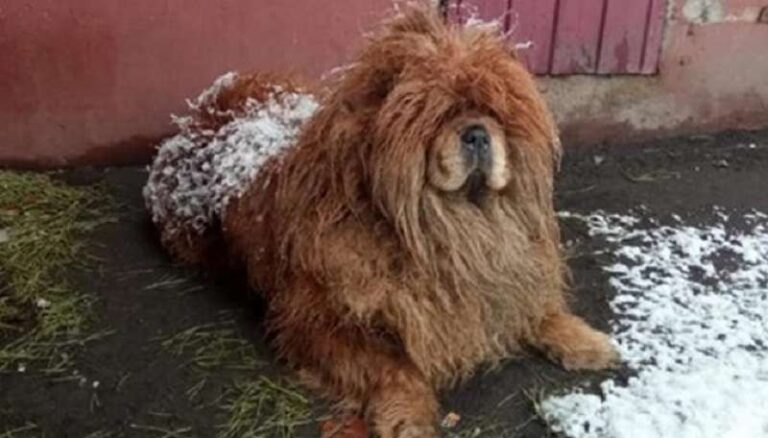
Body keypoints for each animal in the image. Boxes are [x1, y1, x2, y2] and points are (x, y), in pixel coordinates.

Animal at [144, 4, 616, 438]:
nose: (478, 133)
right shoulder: (320, 324)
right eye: (440, 114)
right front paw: (409, 416)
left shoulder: (502, 276)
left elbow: (538, 309)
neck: (448, 231)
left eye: (495, 114)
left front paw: (584, 340)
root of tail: (201, 112)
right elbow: (393, 367)